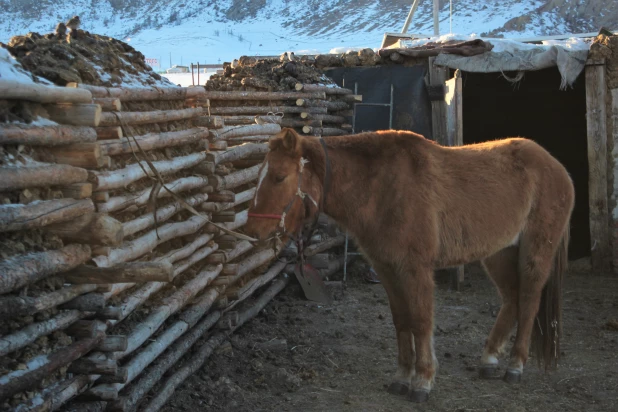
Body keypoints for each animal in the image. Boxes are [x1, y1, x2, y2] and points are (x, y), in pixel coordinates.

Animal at [244, 128, 572, 402]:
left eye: (279, 177)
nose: (253, 233)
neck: (382, 188)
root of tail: (556, 166)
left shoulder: (416, 269)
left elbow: (421, 321)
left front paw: (423, 382)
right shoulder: (387, 268)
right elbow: (402, 321)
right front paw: (402, 378)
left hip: (534, 254)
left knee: (528, 301)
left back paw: (515, 366)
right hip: (499, 253)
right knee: (512, 300)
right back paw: (489, 359)